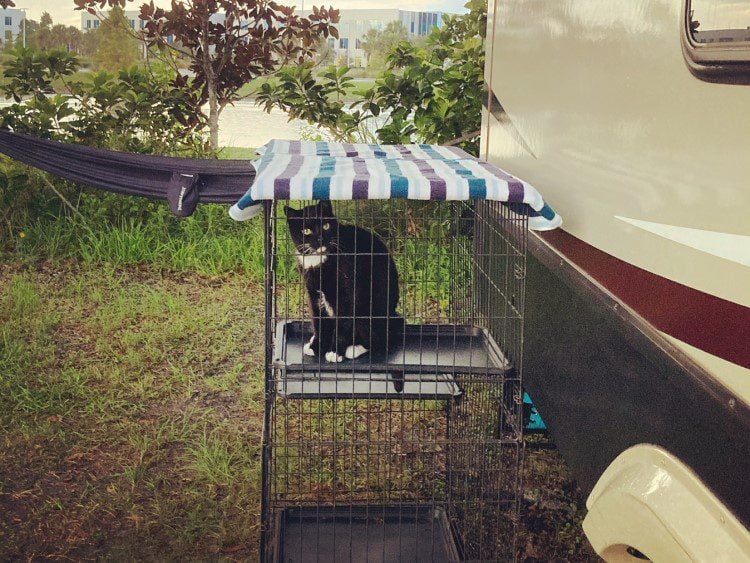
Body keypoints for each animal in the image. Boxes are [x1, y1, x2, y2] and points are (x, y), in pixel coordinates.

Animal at [286, 200, 406, 364]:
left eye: (326, 226)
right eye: (307, 231)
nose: (320, 239)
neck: (319, 261)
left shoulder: (346, 295)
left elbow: (343, 323)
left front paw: (335, 352)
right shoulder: (313, 294)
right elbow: (319, 322)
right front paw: (317, 346)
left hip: (370, 309)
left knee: (379, 338)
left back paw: (354, 348)